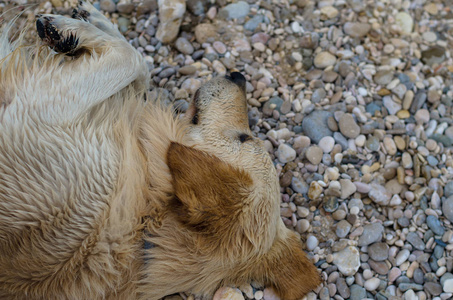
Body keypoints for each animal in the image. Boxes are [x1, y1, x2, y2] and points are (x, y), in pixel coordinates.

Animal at [0, 2, 320, 300]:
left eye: (244, 138)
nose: (238, 75)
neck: (145, 223)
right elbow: (140, 74)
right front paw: (98, 24)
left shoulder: (39, 108)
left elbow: (131, 59)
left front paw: (74, 32)